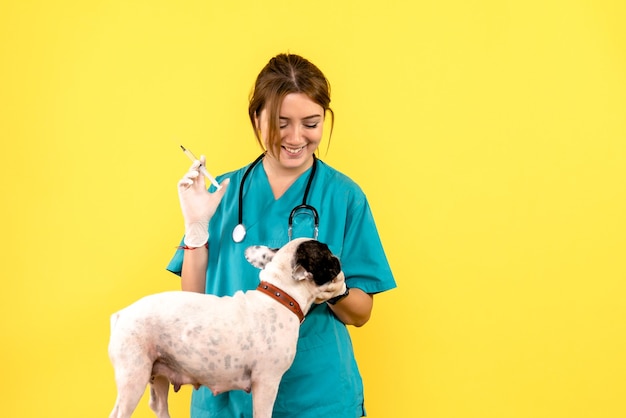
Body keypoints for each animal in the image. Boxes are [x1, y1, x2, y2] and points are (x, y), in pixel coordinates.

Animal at [107, 238, 346, 418]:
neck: (282, 296)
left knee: (158, 406)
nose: (338, 258)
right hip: (134, 375)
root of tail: (120, 315)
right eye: (326, 254)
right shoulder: (267, 382)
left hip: (156, 372)